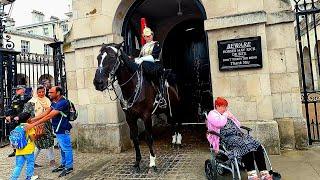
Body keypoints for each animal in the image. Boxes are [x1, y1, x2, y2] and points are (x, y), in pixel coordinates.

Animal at [94, 43, 181, 172]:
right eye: (98, 58)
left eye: (112, 57)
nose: (98, 83)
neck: (132, 87)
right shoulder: (130, 118)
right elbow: (135, 138)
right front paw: (137, 162)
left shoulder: (146, 116)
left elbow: (149, 138)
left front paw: (152, 163)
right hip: (167, 109)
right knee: (173, 122)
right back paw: (174, 140)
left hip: (175, 107)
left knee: (178, 121)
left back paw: (178, 141)